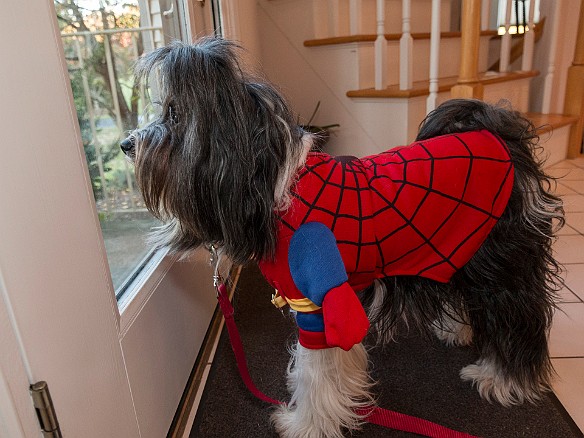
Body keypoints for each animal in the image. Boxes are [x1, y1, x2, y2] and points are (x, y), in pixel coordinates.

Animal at [121, 37, 564, 438]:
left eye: (175, 116)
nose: (126, 143)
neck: (274, 188)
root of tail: (498, 137)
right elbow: (335, 362)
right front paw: (346, 396)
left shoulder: (315, 301)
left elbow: (314, 375)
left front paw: (306, 424)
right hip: (456, 247)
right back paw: (457, 330)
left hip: (501, 263)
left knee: (519, 319)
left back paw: (504, 379)